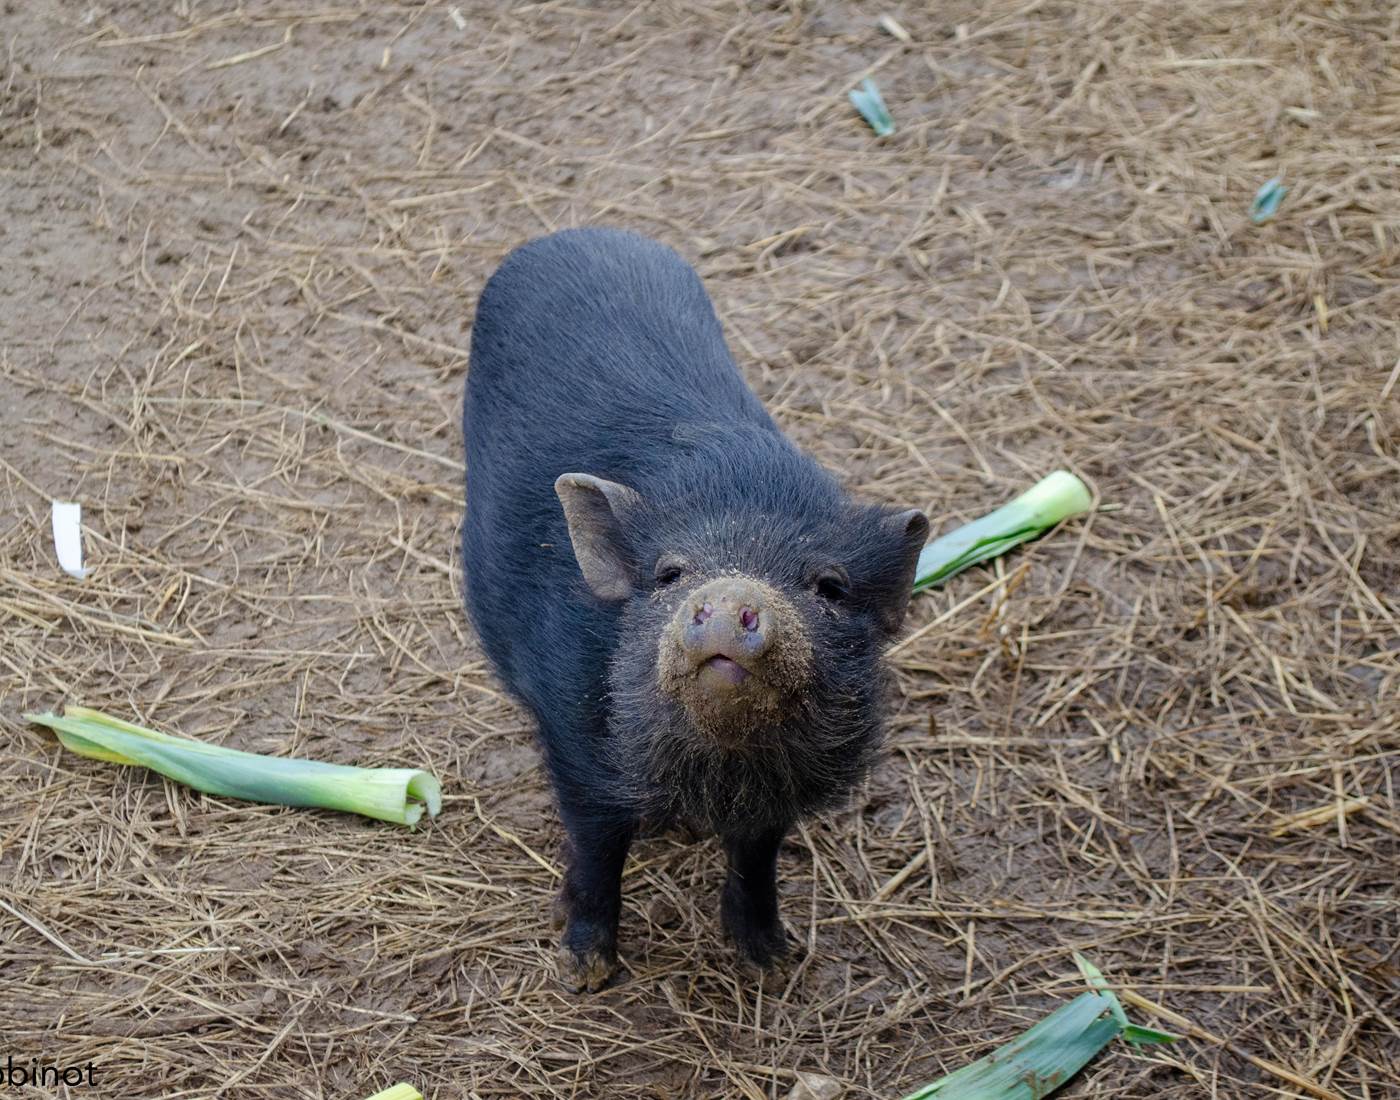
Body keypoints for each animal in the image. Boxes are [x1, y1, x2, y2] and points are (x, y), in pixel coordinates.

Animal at [462, 228, 928, 991]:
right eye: (669, 573)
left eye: (829, 587)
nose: (732, 595)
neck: (720, 765)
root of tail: (576, 232)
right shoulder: (576, 738)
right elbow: (596, 850)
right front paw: (585, 974)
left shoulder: (778, 796)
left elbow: (758, 858)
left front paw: (774, 962)